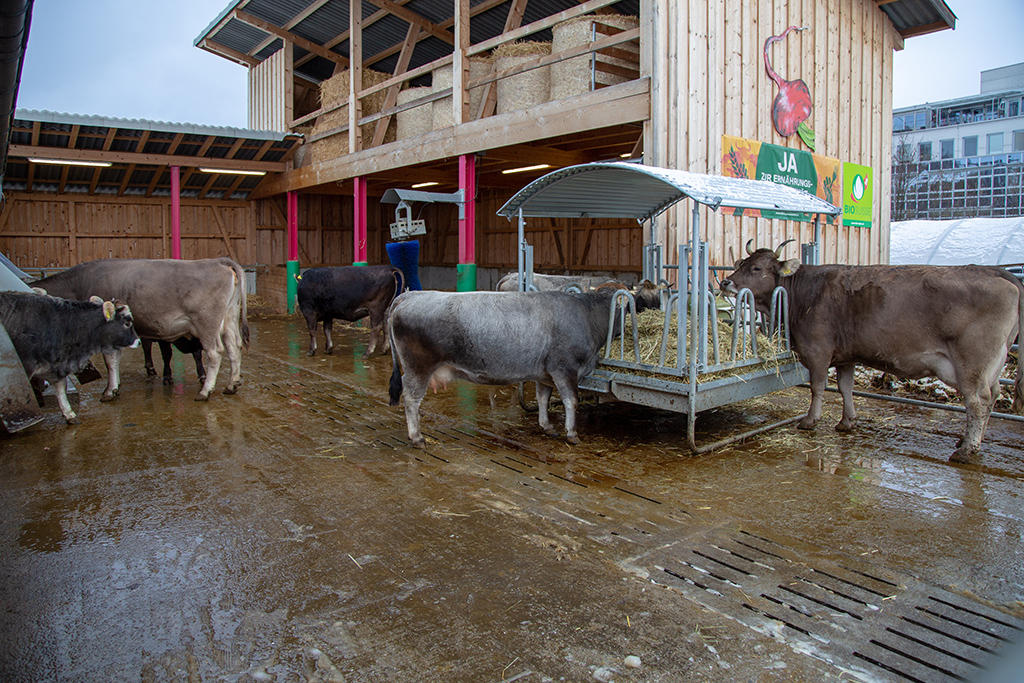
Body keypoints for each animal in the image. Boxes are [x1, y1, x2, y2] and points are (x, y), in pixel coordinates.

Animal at [0, 290, 140, 423]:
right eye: (127, 323)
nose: (138, 341)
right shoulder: (27, 366)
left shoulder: (57, 364)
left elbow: (61, 388)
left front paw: (69, 413)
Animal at [33, 259, 248, 403]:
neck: (77, 285)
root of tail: (218, 261)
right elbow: (115, 359)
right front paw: (115, 387)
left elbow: (110, 361)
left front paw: (110, 391)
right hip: (228, 319)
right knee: (234, 347)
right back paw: (231, 385)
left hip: (206, 323)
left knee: (215, 352)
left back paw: (205, 391)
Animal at [387, 282, 659, 446]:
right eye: (638, 304)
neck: (587, 315)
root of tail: (411, 294)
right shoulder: (565, 368)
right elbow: (571, 400)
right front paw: (572, 434)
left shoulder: (545, 373)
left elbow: (543, 398)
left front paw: (547, 426)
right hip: (418, 368)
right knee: (411, 399)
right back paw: (417, 437)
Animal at [720, 237, 1024, 462]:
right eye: (742, 263)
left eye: (757, 269)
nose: (725, 282)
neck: (804, 292)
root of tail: (998, 272)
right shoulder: (846, 356)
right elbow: (846, 388)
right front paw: (847, 421)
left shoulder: (818, 351)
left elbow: (817, 387)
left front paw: (810, 420)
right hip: (994, 363)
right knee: (994, 394)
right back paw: (970, 441)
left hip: (972, 362)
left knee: (978, 401)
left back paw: (966, 449)